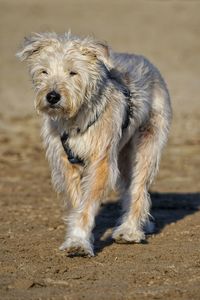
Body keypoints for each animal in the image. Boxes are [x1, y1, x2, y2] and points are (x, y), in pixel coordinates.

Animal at [16, 32, 172, 256]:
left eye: (73, 72)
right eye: (44, 71)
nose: (52, 96)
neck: (74, 119)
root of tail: (147, 63)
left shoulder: (101, 160)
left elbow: (87, 203)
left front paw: (78, 242)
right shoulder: (66, 163)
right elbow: (77, 202)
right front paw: (78, 237)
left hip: (146, 146)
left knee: (138, 188)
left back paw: (129, 230)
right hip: (123, 155)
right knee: (129, 189)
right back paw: (141, 224)